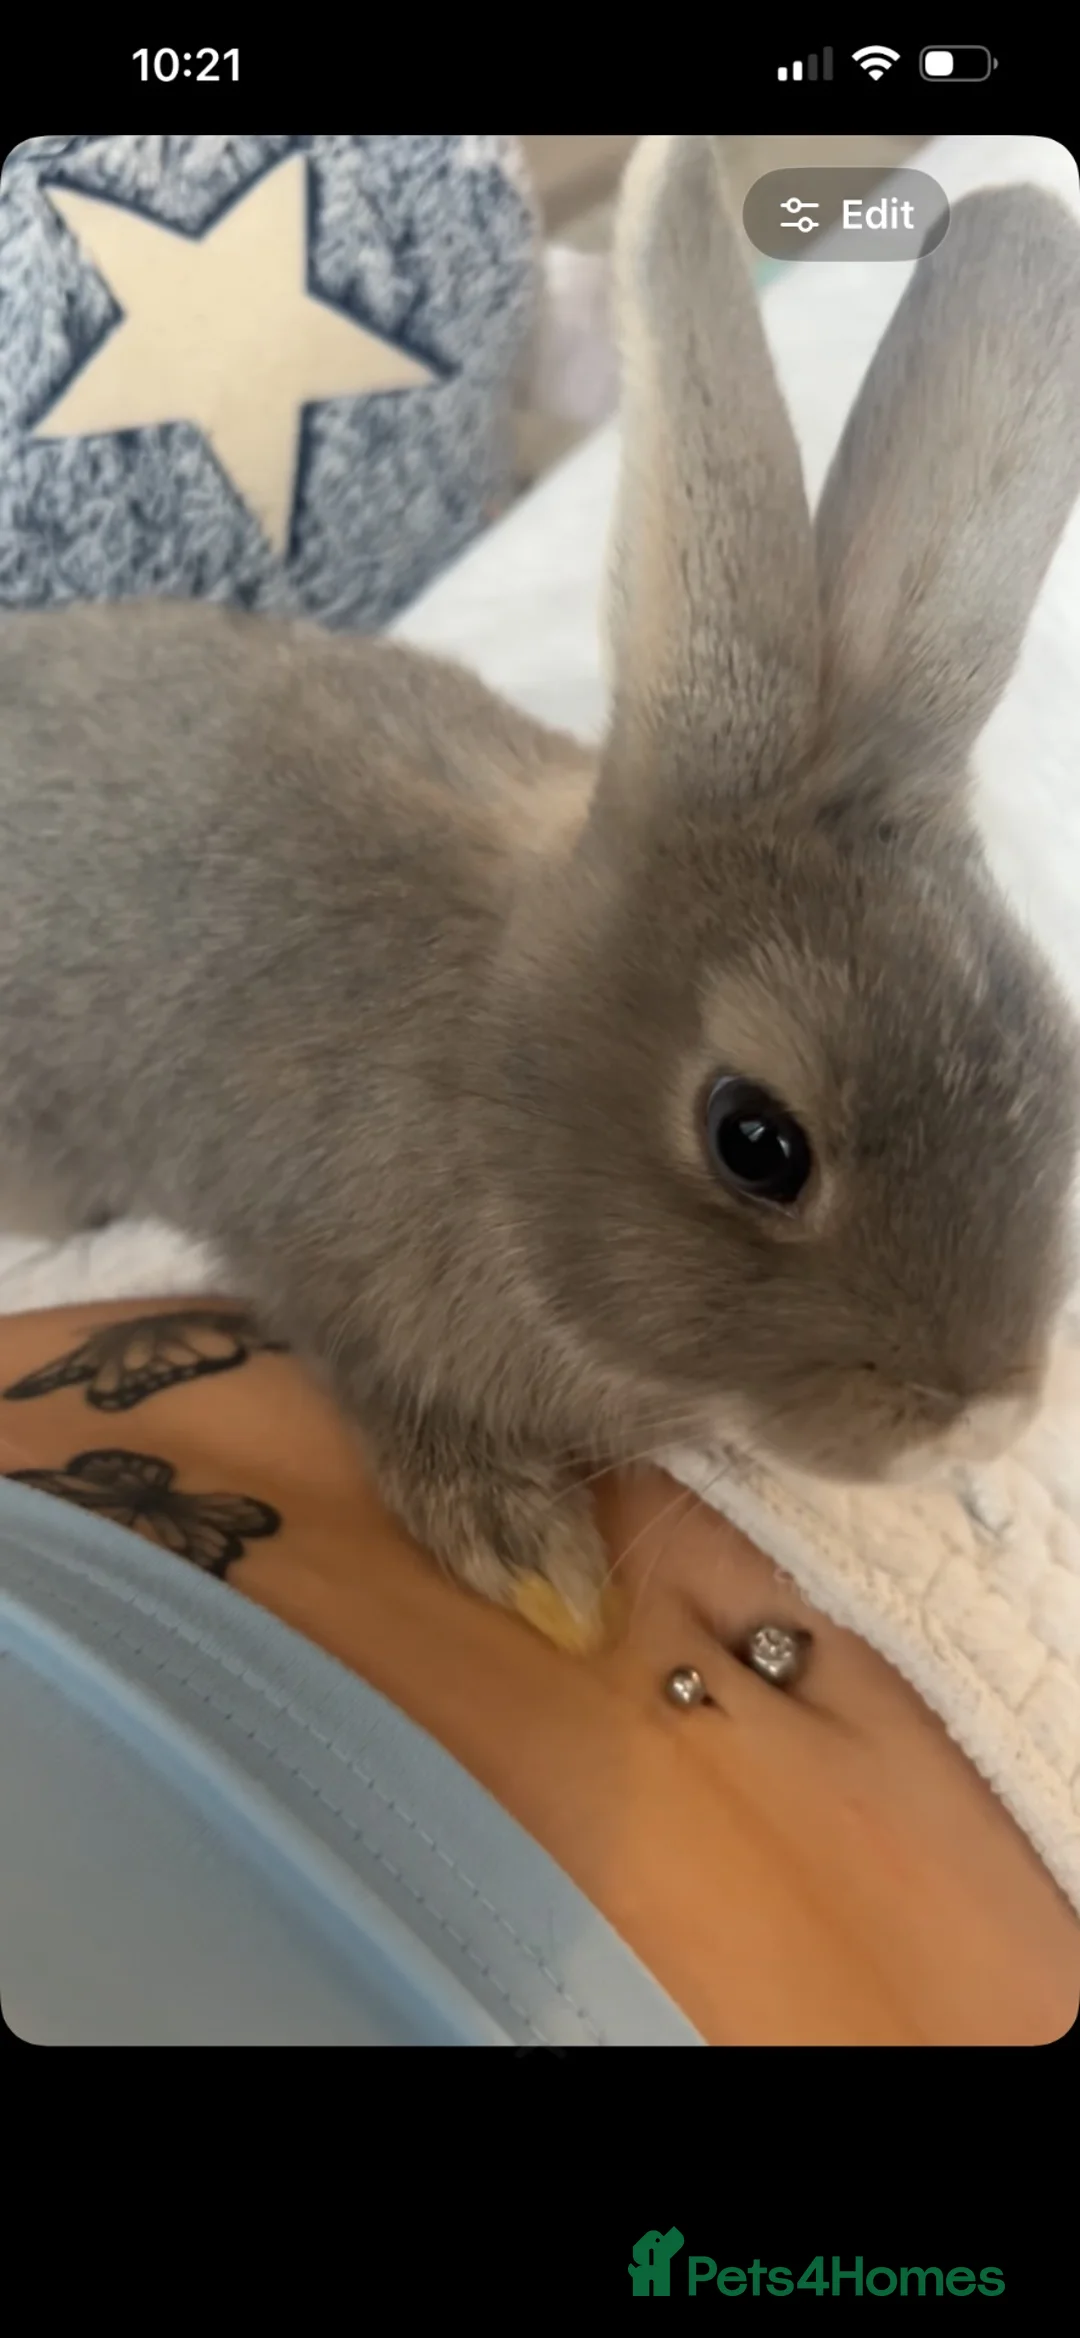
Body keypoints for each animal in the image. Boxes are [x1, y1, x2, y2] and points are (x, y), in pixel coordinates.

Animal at [2, 134, 1080, 1654]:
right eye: (757, 1141)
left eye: (1060, 1055)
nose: (974, 1420)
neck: (491, 1081)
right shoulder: (328, 1269)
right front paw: (540, 1569)